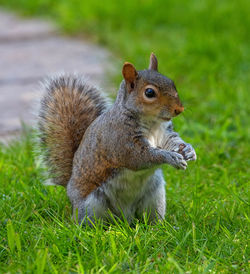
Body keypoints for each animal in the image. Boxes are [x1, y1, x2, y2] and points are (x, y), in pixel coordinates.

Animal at [38, 52, 196, 224]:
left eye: (172, 83)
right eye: (149, 93)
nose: (179, 109)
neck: (152, 123)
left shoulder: (165, 133)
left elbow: (172, 141)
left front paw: (188, 150)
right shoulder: (121, 141)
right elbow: (141, 157)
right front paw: (171, 157)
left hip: (154, 196)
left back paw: (159, 226)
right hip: (92, 205)